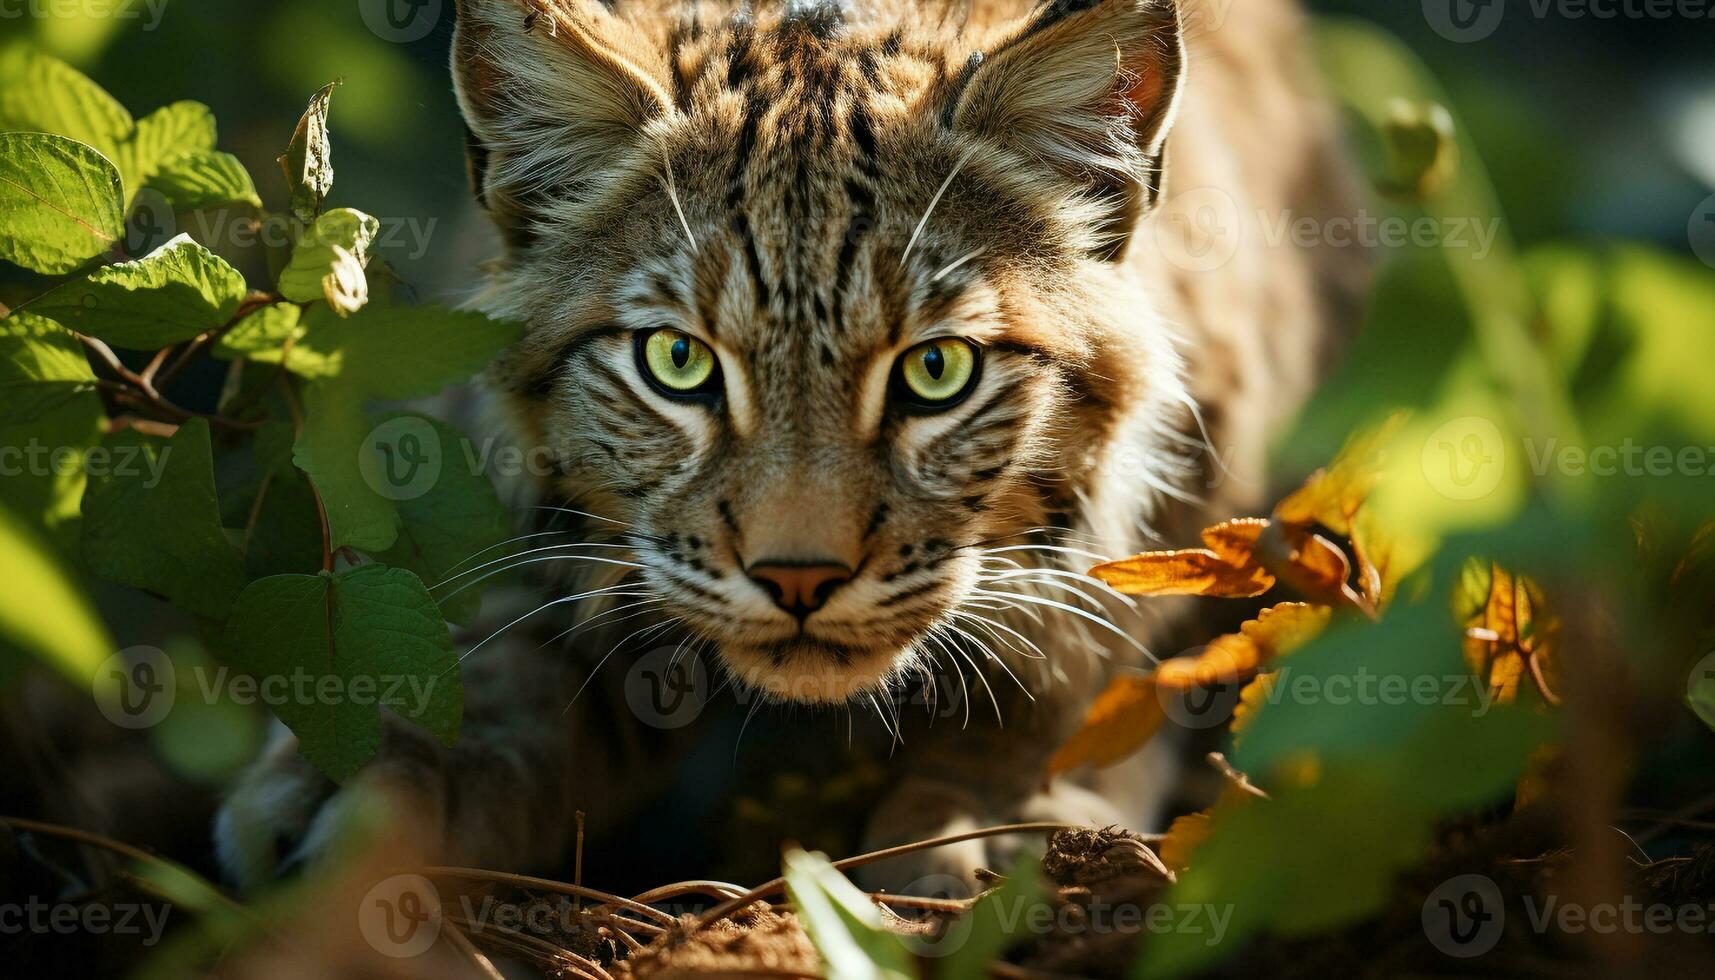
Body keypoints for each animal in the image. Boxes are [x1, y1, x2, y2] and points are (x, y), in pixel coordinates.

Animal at [214, 0, 1365, 892]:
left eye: (935, 371)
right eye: (676, 361)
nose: (799, 577)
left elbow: (1099, 642)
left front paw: (993, 814)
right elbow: (507, 648)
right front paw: (379, 778)